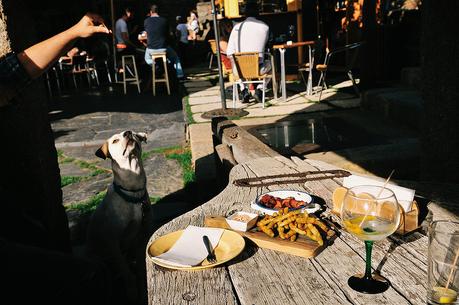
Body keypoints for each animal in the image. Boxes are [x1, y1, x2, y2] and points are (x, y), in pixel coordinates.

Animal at [87, 129, 155, 302]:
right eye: (115, 141)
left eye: (135, 134)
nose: (128, 132)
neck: (133, 193)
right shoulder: (113, 241)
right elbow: (126, 272)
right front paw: (132, 291)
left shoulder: (142, 235)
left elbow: (140, 263)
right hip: (99, 261)